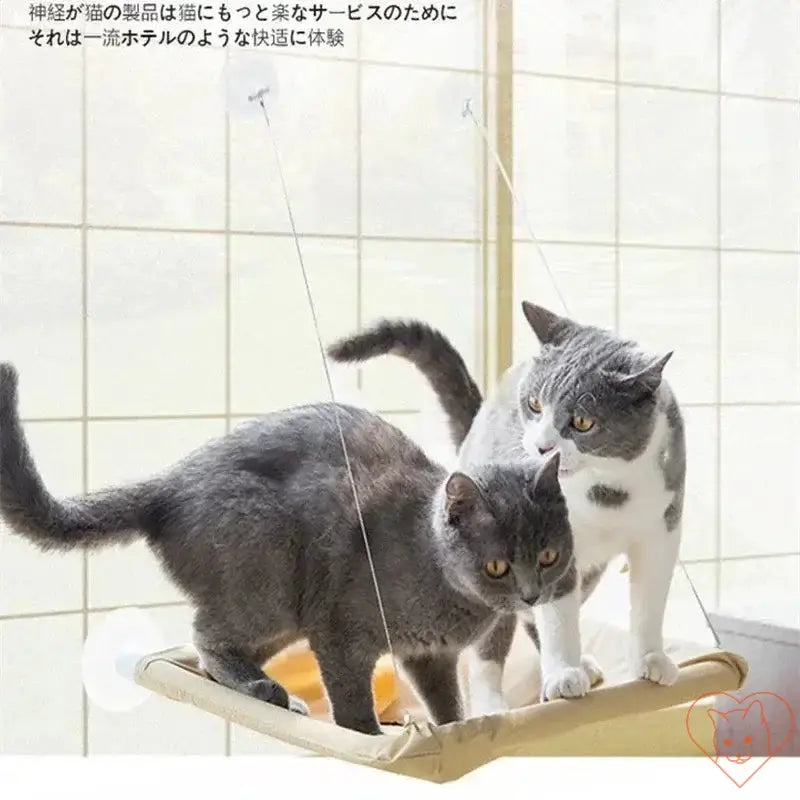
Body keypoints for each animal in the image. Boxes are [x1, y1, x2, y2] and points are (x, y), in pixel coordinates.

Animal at [0, 360, 580, 736]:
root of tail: (167, 486)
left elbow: (445, 698)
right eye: (497, 566)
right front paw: (370, 736)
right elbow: (350, 697)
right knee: (207, 635)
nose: (531, 595)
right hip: (269, 570)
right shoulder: (341, 632)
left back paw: (267, 691)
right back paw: (267, 692)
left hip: (283, 610)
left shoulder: (428, 654)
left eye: (549, 557)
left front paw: (455, 729)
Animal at [328, 300, 684, 712]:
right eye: (534, 404)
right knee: (493, 643)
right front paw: (563, 675)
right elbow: (556, 614)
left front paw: (651, 659)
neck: (605, 488)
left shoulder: (662, 527)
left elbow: (649, 599)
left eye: (582, 421)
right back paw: (493, 706)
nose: (542, 446)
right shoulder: (558, 537)